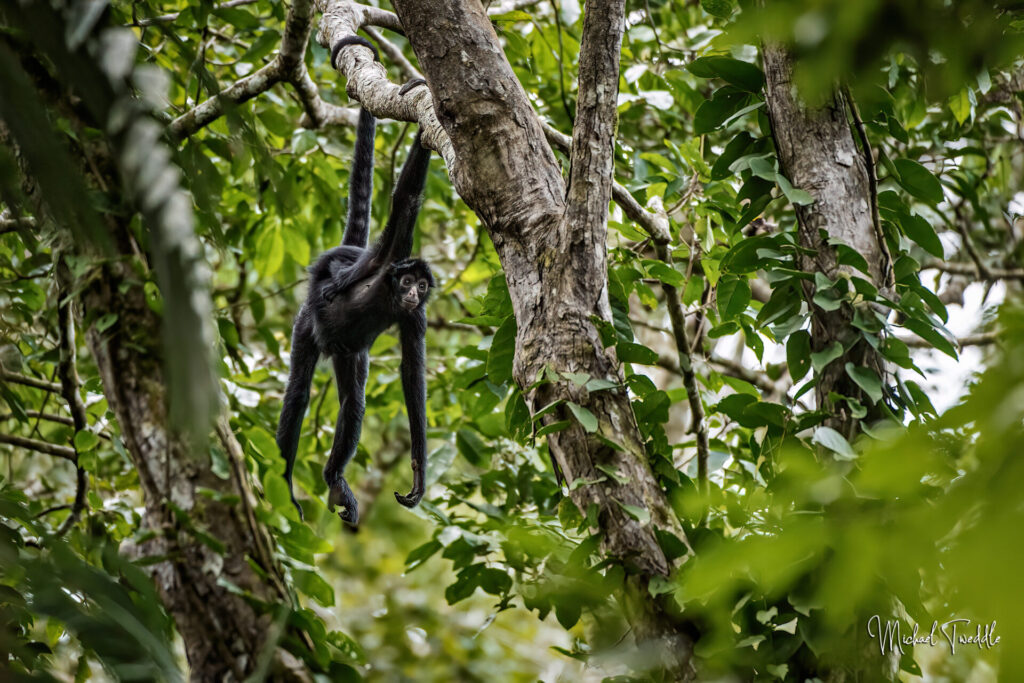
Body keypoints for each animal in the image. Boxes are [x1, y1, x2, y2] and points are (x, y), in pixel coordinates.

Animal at [276, 34, 432, 528]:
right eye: (408, 282)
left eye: (422, 289)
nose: (412, 291)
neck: (387, 295)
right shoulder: (387, 258)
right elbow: (407, 199)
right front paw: (422, 121)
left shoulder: (415, 317)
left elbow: (412, 376)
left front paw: (418, 474)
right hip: (308, 326)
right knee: (298, 393)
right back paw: (280, 482)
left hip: (348, 352)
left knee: (353, 403)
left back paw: (334, 480)